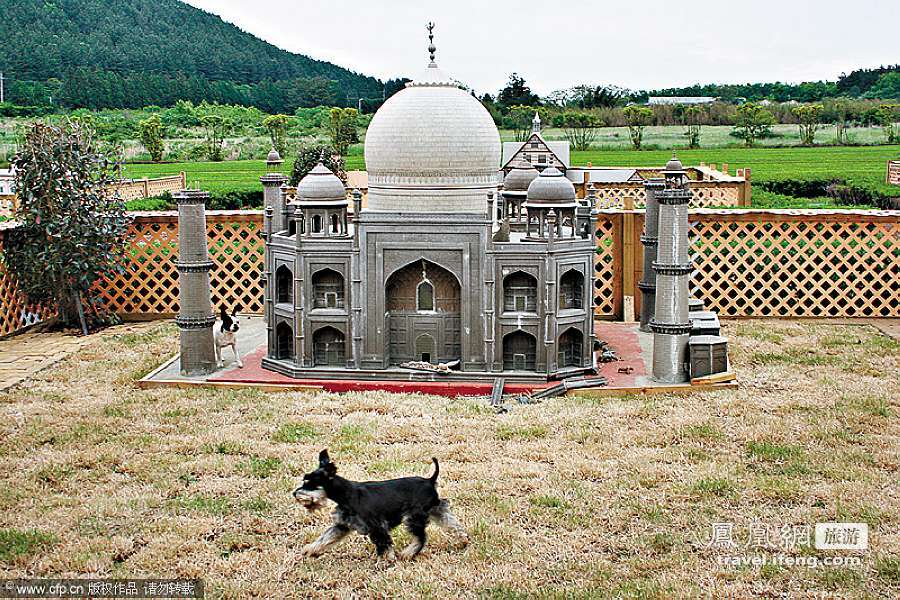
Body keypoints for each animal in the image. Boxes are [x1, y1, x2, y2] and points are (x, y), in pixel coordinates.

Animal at [294, 450, 468, 564]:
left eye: (310, 484)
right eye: (305, 480)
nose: (295, 493)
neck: (347, 494)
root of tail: (430, 480)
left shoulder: (377, 526)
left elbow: (384, 545)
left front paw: (385, 561)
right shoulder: (342, 525)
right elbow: (326, 537)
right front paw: (311, 550)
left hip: (414, 517)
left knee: (421, 537)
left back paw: (407, 554)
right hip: (436, 509)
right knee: (451, 523)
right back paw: (463, 540)